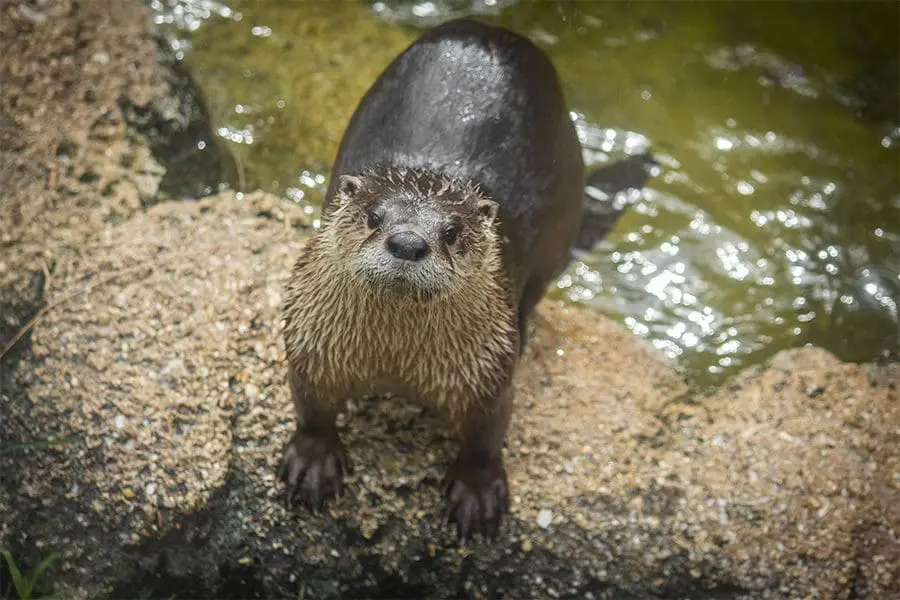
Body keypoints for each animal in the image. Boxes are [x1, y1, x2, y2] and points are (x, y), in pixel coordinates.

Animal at [276, 16, 648, 540]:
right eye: (373, 217)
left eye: (451, 232)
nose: (408, 243)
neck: (395, 363)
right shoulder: (312, 341)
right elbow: (310, 407)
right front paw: (313, 461)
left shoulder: (487, 371)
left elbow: (485, 437)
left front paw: (476, 492)